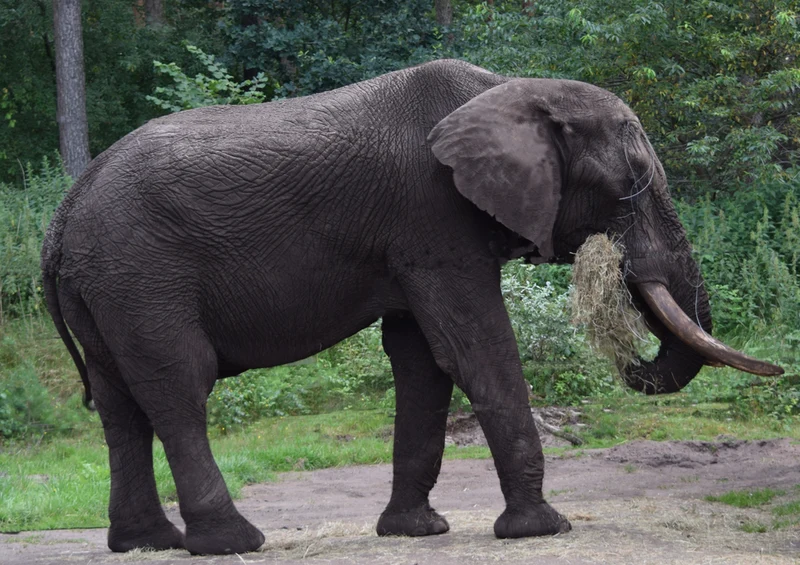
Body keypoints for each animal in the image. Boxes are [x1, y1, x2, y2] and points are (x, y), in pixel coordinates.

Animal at [41, 59, 782, 555]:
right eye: (633, 184)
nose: (631, 352)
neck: (511, 91)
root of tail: (64, 213)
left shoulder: (416, 239)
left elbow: (422, 359)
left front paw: (416, 532)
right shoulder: (435, 217)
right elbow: (474, 346)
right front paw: (541, 529)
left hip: (105, 285)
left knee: (121, 405)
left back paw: (147, 543)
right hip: (142, 274)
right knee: (177, 385)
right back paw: (233, 541)